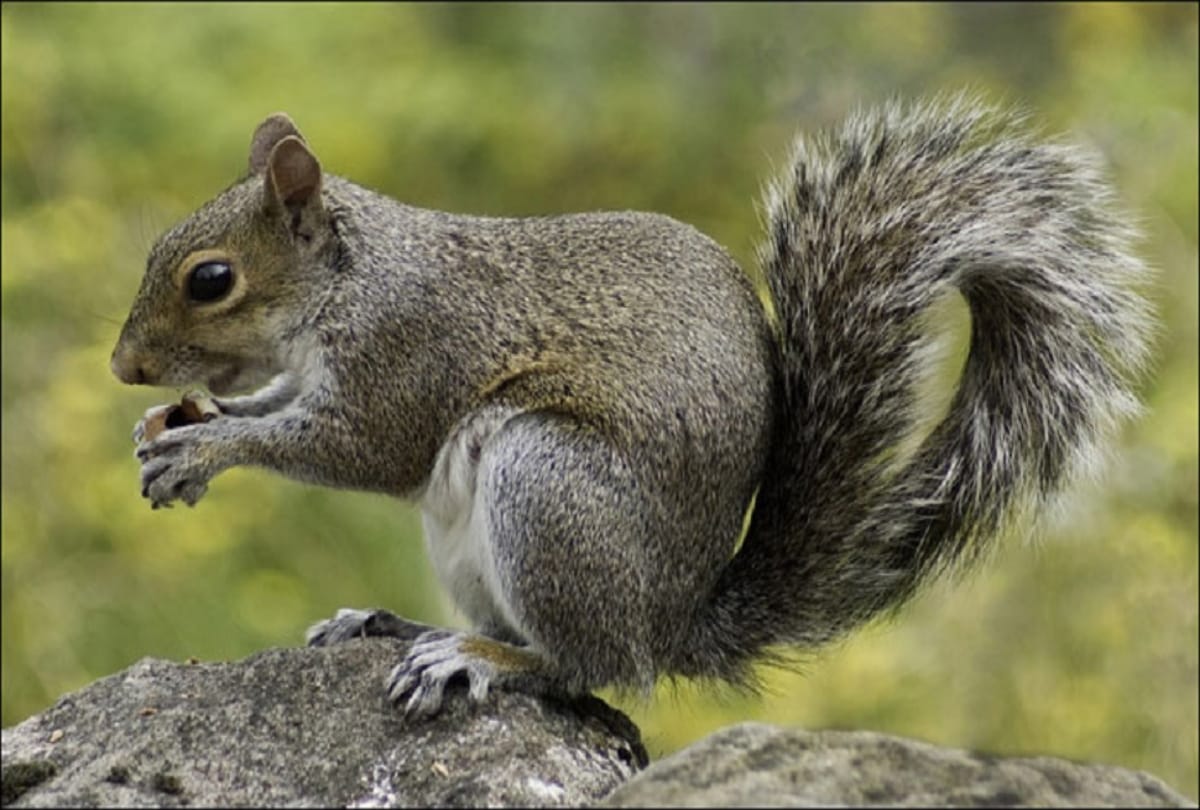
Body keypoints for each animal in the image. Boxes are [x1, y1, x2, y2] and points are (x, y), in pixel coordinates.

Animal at [111, 95, 1153, 717]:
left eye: (211, 279)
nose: (124, 367)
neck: (349, 281)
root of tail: (674, 622)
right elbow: (283, 404)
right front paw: (179, 426)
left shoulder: (410, 354)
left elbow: (357, 446)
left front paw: (204, 450)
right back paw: (400, 628)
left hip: (549, 486)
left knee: (592, 666)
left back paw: (479, 661)